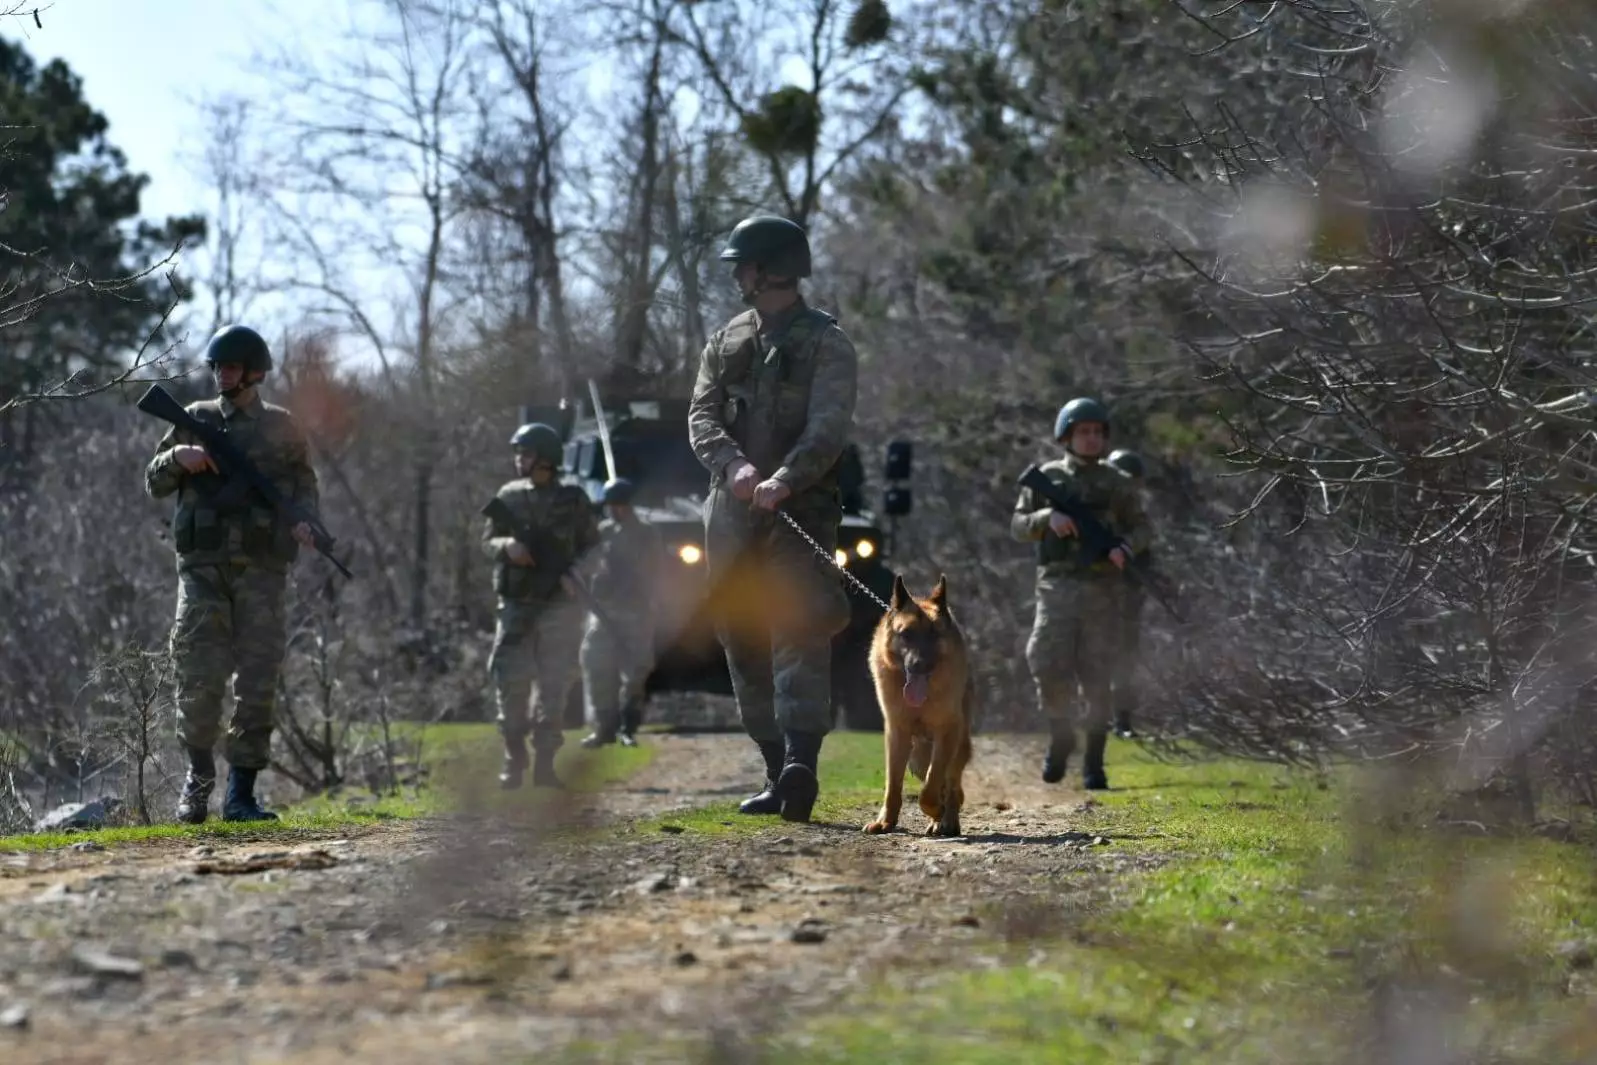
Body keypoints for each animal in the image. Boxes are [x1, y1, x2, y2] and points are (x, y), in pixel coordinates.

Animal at [862, 578, 970, 836]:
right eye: (907, 634)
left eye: (933, 635)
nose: (918, 665)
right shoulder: (896, 733)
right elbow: (893, 784)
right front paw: (886, 821)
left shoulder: (946, 733)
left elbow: (931, 786)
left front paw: (937, 811)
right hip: (918, 757)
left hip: (956, 746)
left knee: (952, 786)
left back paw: (947, 820)